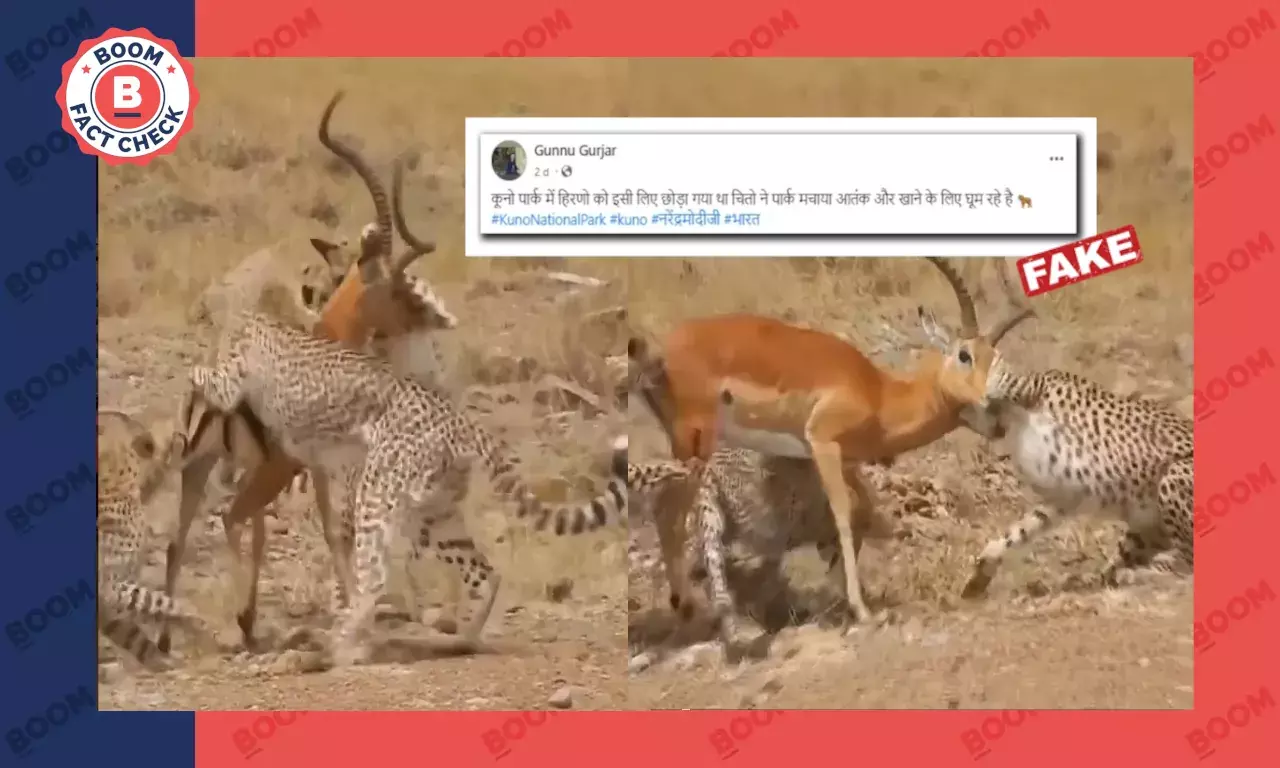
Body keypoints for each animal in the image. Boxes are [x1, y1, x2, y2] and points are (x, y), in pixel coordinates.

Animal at [627, 257, 1034, 626]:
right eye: (965, 355)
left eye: (995, 358)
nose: (996, 414)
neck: (879, 393)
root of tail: (658, 353)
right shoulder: (821, 442)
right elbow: (842, 514)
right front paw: (862, 610)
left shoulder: (844, 460)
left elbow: (861, 510)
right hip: (695, 441)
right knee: (670, 510)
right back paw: (690, 608)